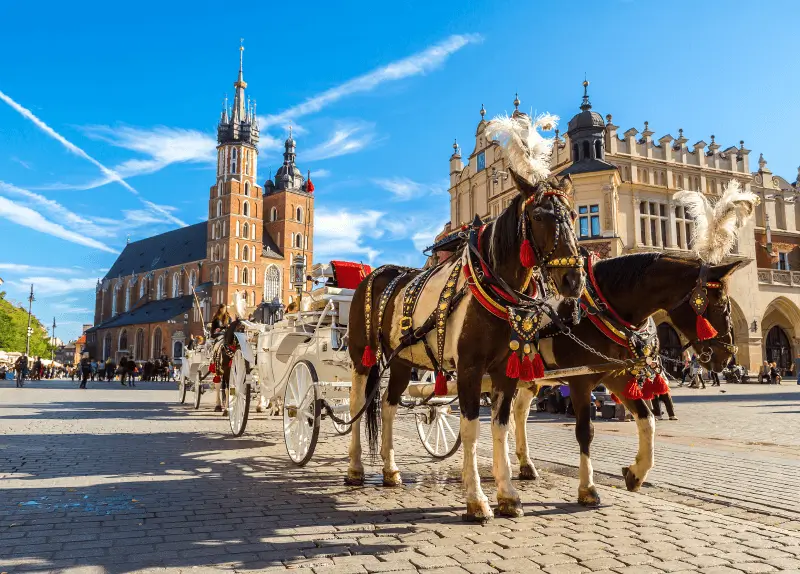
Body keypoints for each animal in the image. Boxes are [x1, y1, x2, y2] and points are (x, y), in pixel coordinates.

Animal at [346, 165, 584, 520]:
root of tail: (374, 274)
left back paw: (390, 471)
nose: (573, 280)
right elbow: (471, 428)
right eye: (539, 216)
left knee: (388, 406)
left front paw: (508, 494)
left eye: (573, 214)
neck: (491, 286)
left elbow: (501, 426)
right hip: (363, 355)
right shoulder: (470, 369)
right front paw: (476, 499)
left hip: (402, 361)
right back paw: (355, 468)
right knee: (358, 404)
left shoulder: (505, 371)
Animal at [512, 254, 744, 506]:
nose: (727, 356)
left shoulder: (617, 377)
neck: (600, 311)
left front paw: (636, 473)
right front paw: (587, 488)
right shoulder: (580, 382)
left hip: (529, 379)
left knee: (519, 413)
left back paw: (525, 465)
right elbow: (585, 432)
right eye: (720, 304)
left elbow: (647, 419)